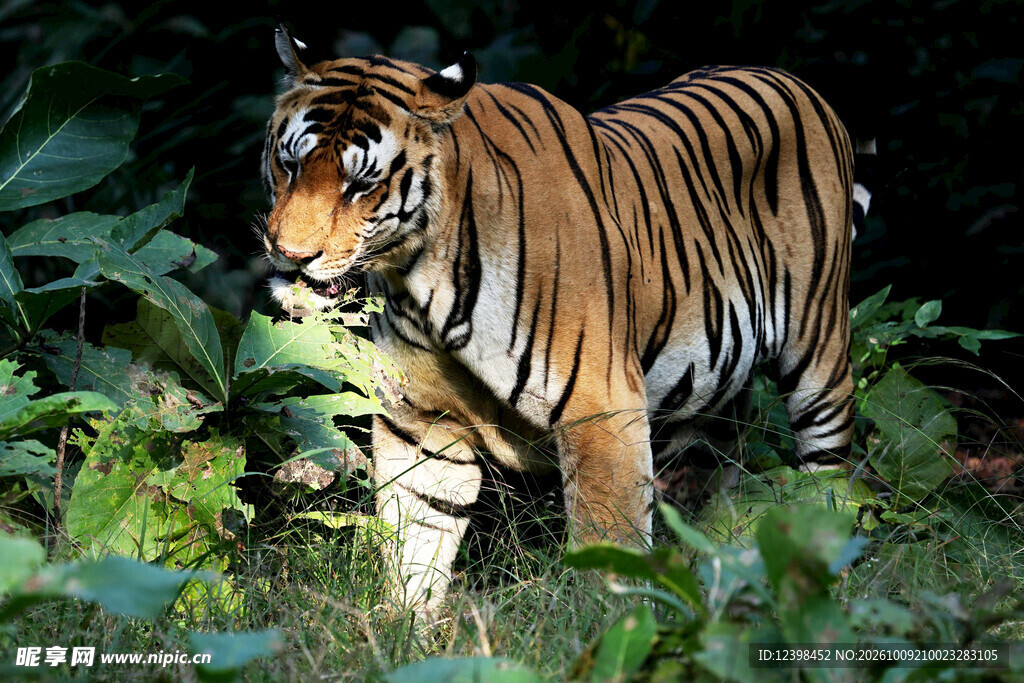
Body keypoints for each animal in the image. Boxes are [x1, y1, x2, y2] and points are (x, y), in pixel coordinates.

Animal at [261, 25, 869, 617]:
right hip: (707, 403)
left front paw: (609, 626)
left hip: (819, 355)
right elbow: (417, 535)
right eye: (289, 166)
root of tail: (786, 76)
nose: (290, 254)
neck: (420, 276)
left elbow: (608, 548)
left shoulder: (602, 411)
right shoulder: (422, 422)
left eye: (360, 185)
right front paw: (407, 625)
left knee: (828, 475)